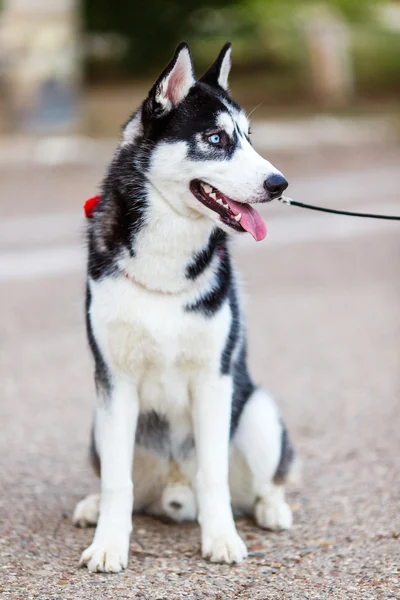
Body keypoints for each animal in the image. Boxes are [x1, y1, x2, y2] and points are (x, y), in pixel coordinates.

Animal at [73, 43, 294, 572]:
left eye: (250, 138)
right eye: (216, 138)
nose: (280, 183)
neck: (164, 263)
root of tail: (172, 490)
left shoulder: (213, 380)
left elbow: (213, 474)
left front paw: (222, 539)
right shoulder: (114, 382)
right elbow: (117, 481)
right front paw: (110, 544)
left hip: (257, 411)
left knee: (264, 481)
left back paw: (271, 508)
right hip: (98, 422)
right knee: (124, 485)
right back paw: (93, 506)